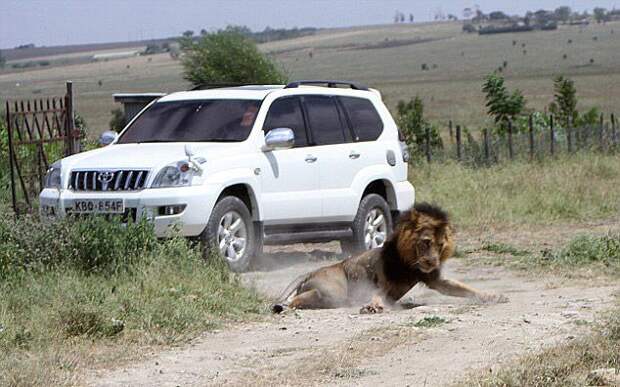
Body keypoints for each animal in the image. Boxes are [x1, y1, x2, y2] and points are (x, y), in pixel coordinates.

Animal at [272, 202, 508, 314]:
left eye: (441, 245)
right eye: (426, 242)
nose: (432, 262)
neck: (411, 263)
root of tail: (310, 271)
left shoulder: (435, 279)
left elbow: (464, 289)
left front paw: (492, 296)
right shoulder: (382, 280)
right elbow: (377, 294)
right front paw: (373, 306)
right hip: (333, 291)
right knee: (302, 298)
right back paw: (285, 306)